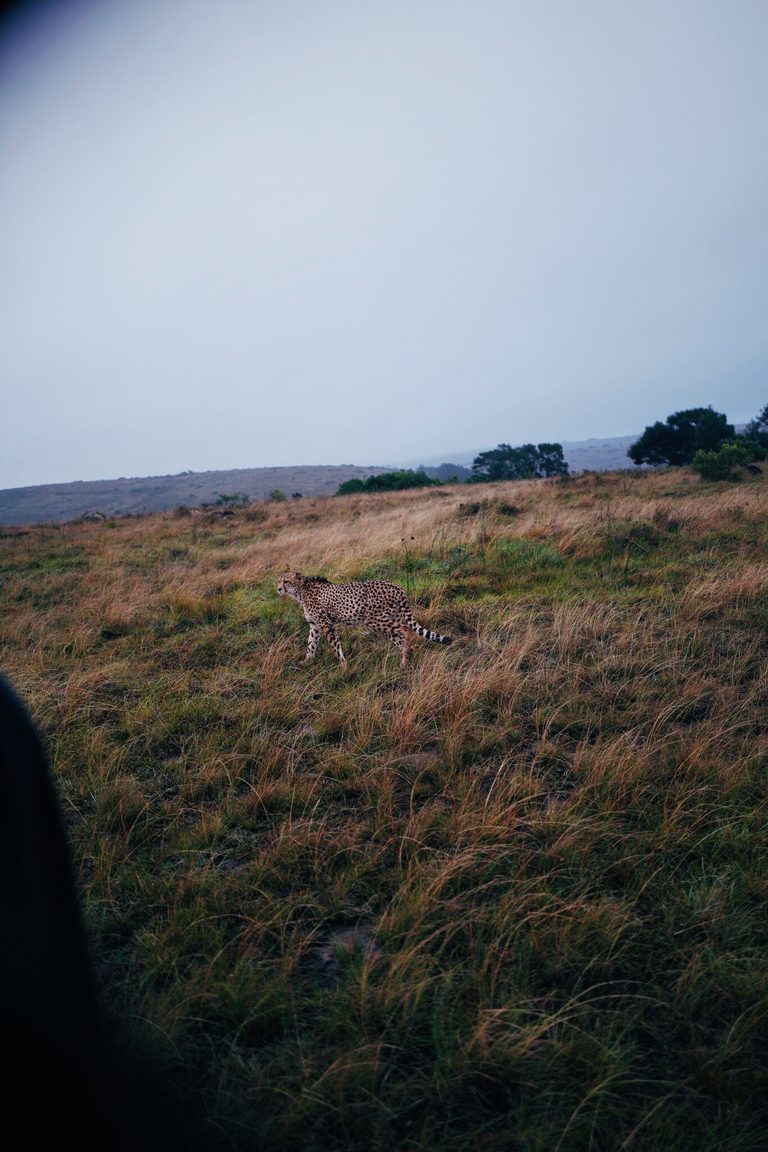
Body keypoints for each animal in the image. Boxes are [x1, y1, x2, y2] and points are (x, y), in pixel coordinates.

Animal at [276, 572, 452, 667]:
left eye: (286, 581)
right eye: (278, 581)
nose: (278, 589)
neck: (301, 591)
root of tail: (397, 587)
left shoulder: (326, 624)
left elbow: (335, 647)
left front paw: (343, 666)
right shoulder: (315, 625)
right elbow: (311, 645)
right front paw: (307, 662)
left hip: (373, 620)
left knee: (405, 629)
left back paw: (406, 654)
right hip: (388, 619)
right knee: (400, 636)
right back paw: (405, 661)